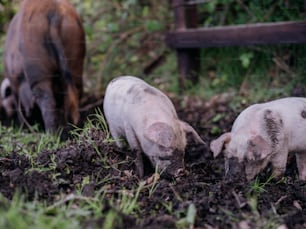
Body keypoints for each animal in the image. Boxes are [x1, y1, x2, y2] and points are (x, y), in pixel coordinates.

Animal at [2, 0, 85, 132]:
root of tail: (53, 11)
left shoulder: (15, 85)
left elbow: (19, 106)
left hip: (37, 69)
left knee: (46, 98)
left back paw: (51, 134)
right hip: (76, 59)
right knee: (75, 91)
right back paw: (75, 129)